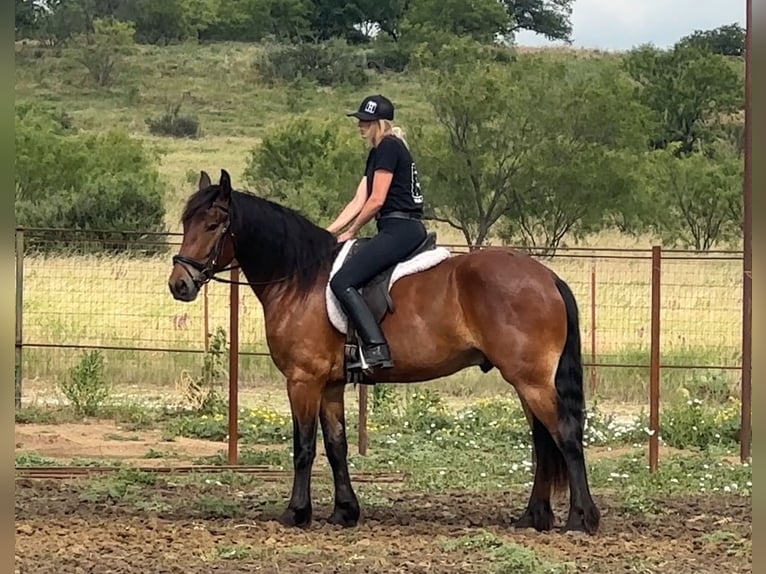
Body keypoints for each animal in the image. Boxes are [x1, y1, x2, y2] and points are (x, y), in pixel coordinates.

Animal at [171, 170, 604, 536]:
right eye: (186, 223)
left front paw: (296, 513)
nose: (179, 284)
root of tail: (546, 277)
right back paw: (534, 516)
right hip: (526, 381)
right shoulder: (330, 385)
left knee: (565, 435)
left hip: (531, 379)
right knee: (542, 441)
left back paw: (581, 519)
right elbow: (337, 446)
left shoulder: (303, 380)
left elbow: (304, 448)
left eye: (213, 225)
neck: (300, 279)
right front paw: (345, 512)